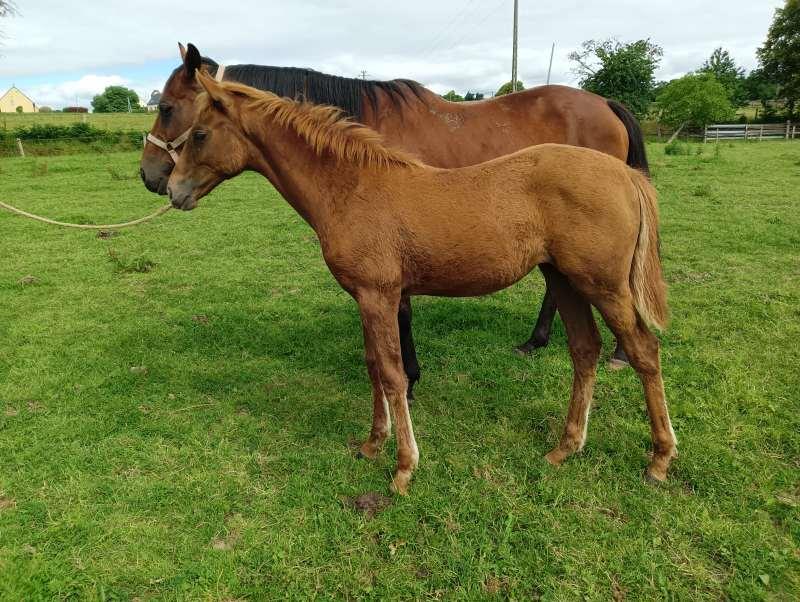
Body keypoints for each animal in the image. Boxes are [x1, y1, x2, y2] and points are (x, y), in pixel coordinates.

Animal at [167, 74, 676, 492]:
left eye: (199, 133)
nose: (171, 190)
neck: (352, 186)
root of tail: (625, 175)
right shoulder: (367, 298)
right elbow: (374, 366)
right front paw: (372, 444)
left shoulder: (379, 295)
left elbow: (393, 374)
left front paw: (403, 467)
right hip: (566, 280)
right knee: (584, 350)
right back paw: (566, 447)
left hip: (605, 284)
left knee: (643, 351)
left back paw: (659, 459)